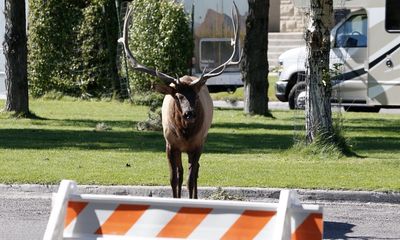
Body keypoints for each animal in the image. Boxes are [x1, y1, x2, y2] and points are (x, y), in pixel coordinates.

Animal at [119, 2, 241, 199]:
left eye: (196, 96)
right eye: (178, 96)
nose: (190, 113)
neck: (184, 134)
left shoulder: (197, 145)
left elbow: (191, 180)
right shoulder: (170, 145)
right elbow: (173, 178)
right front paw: (175, 198)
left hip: (201, 142)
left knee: (195, 171)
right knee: (182, 172)